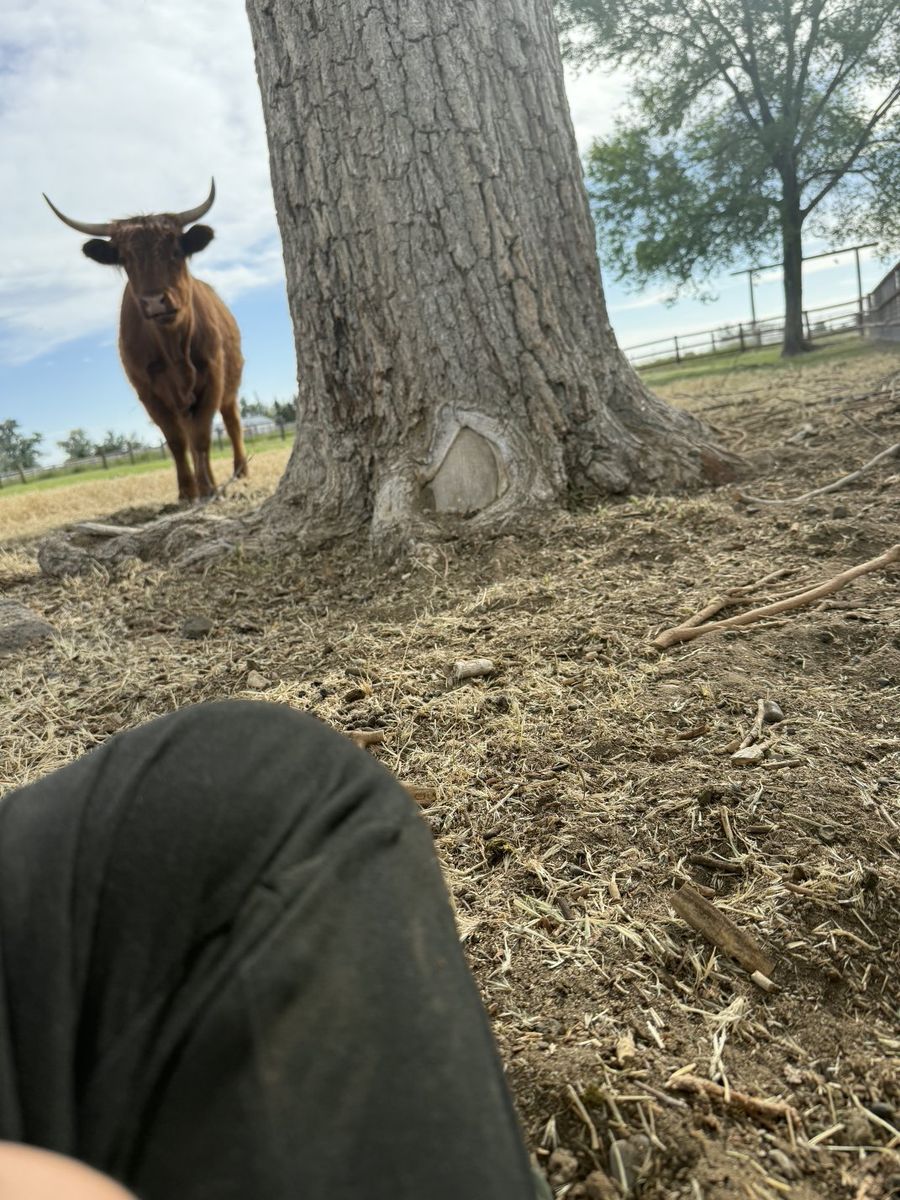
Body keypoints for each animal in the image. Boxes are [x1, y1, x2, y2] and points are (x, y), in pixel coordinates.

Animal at [43, 180, 248, 502]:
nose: (154, 302)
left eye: (176, 251)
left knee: (232, 422)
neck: (173, 347)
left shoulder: (213, 376)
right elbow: (177, 441)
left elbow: (202, 436)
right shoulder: (148, 391)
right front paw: (187, 490)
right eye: (126, 259)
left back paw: (240, 472)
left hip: (230, 384)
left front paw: (207, 488)